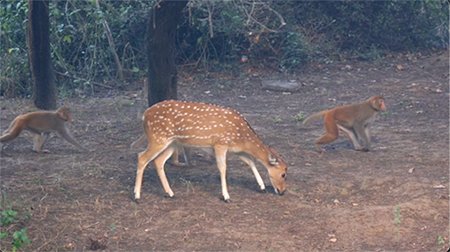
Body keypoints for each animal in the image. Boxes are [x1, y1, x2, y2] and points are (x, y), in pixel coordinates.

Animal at [134, 99, 288, 202]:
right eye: (283, 174)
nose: (282, 191)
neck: (241, 137)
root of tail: (144, 114)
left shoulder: (236, 149)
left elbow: (251, 161)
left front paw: (262, 187)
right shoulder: (220, 143)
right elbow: (223, 167)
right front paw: (226, 196)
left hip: (172, 142)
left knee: (158, 161)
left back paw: (170, 193)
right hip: (158, 138)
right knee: (141, 157)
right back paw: (137, 196)